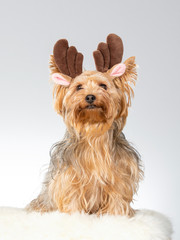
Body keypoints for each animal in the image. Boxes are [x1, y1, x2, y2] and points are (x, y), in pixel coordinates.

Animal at [26, 33, 143, 216]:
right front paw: (76, 216)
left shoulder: (120, 177)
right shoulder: (69, 178)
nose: (90, 96)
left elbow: (117, 198)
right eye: (79, 87)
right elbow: (73, 197)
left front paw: (115, 216)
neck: (93, 132)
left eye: (103, 86)